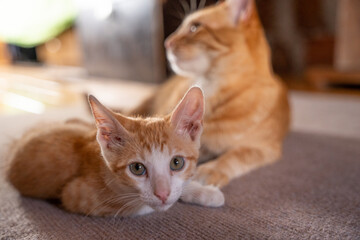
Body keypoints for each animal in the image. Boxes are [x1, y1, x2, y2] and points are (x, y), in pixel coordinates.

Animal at [7, 87, 224, 217]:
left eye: (176, 163)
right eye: (137, 168)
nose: (162, 194)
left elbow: (179, 188)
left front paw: (203, 191)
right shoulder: (77, 197)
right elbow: (143, 205)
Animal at [129, 0, 290, 188]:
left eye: (195, 27)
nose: (166, 42)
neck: (208, 88)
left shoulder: (264, 147)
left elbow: (233, 156)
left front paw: (210, 170)